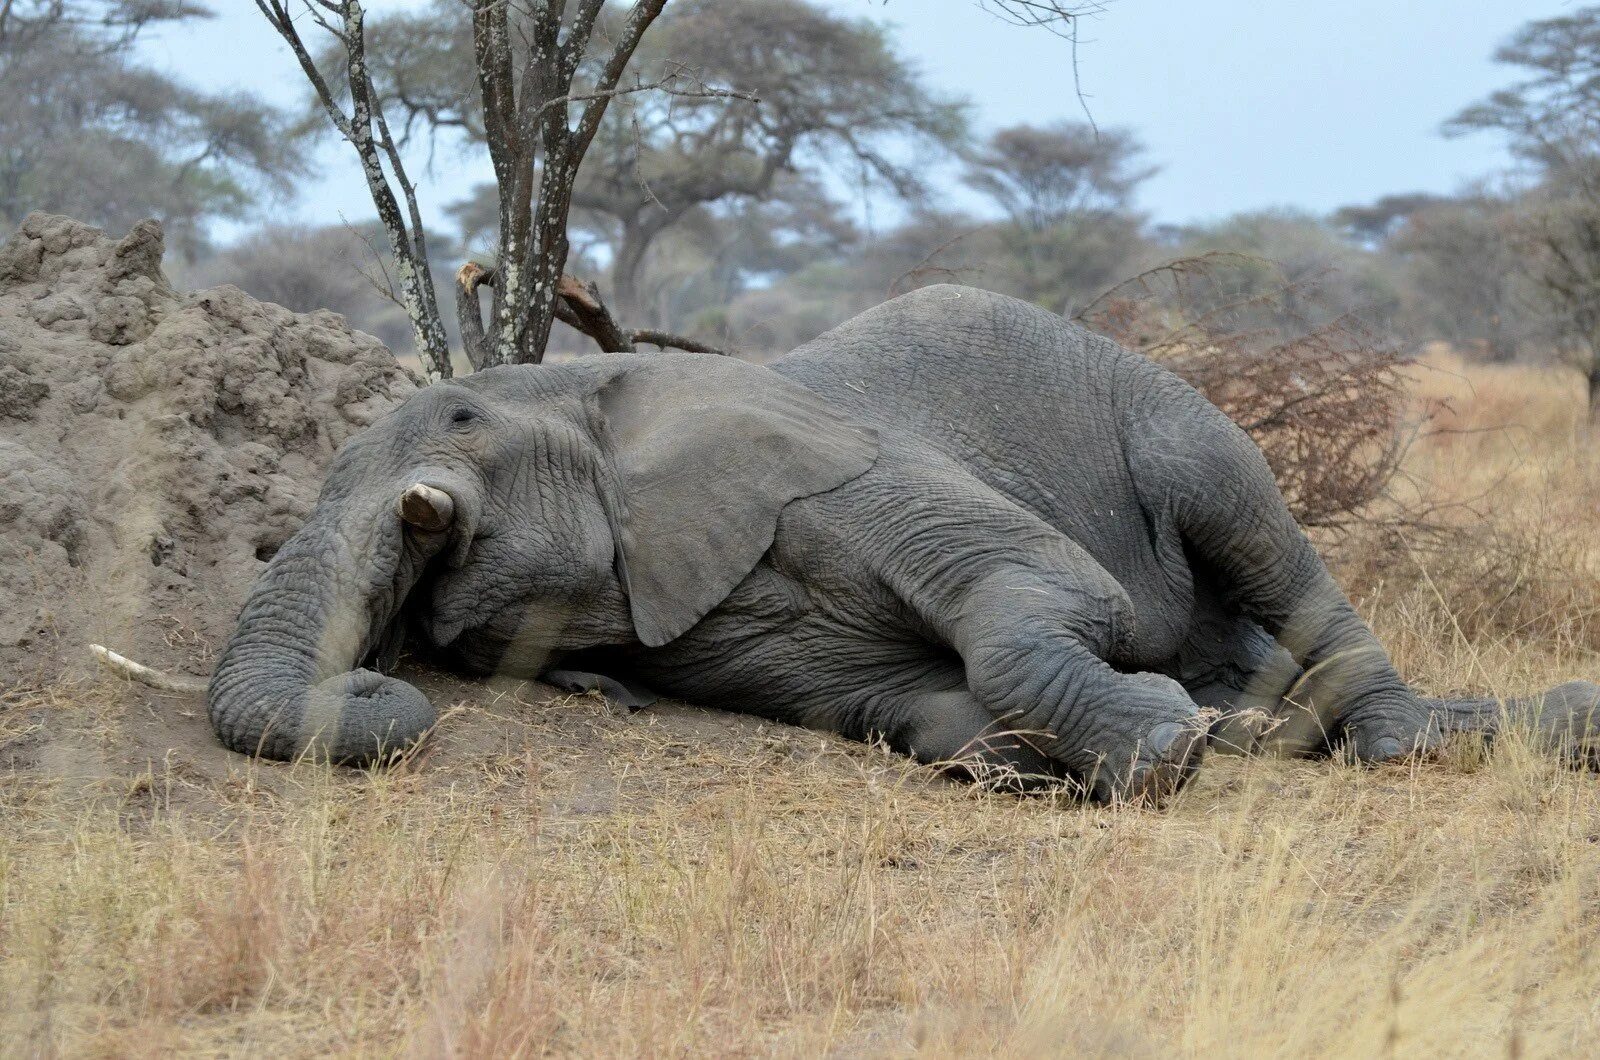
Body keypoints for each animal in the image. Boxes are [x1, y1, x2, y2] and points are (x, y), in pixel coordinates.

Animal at [209, 286, 1600, 800]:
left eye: (458, 417)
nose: (381, 675)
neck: (608, 387)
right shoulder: (720, 632)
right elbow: (912, 705)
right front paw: (1060, 755)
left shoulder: (848, 471)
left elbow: (1050, 597)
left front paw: (1166, 747)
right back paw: (1261, 721)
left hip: (1171, 420)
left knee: (1259, 532)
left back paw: (1383, 737)